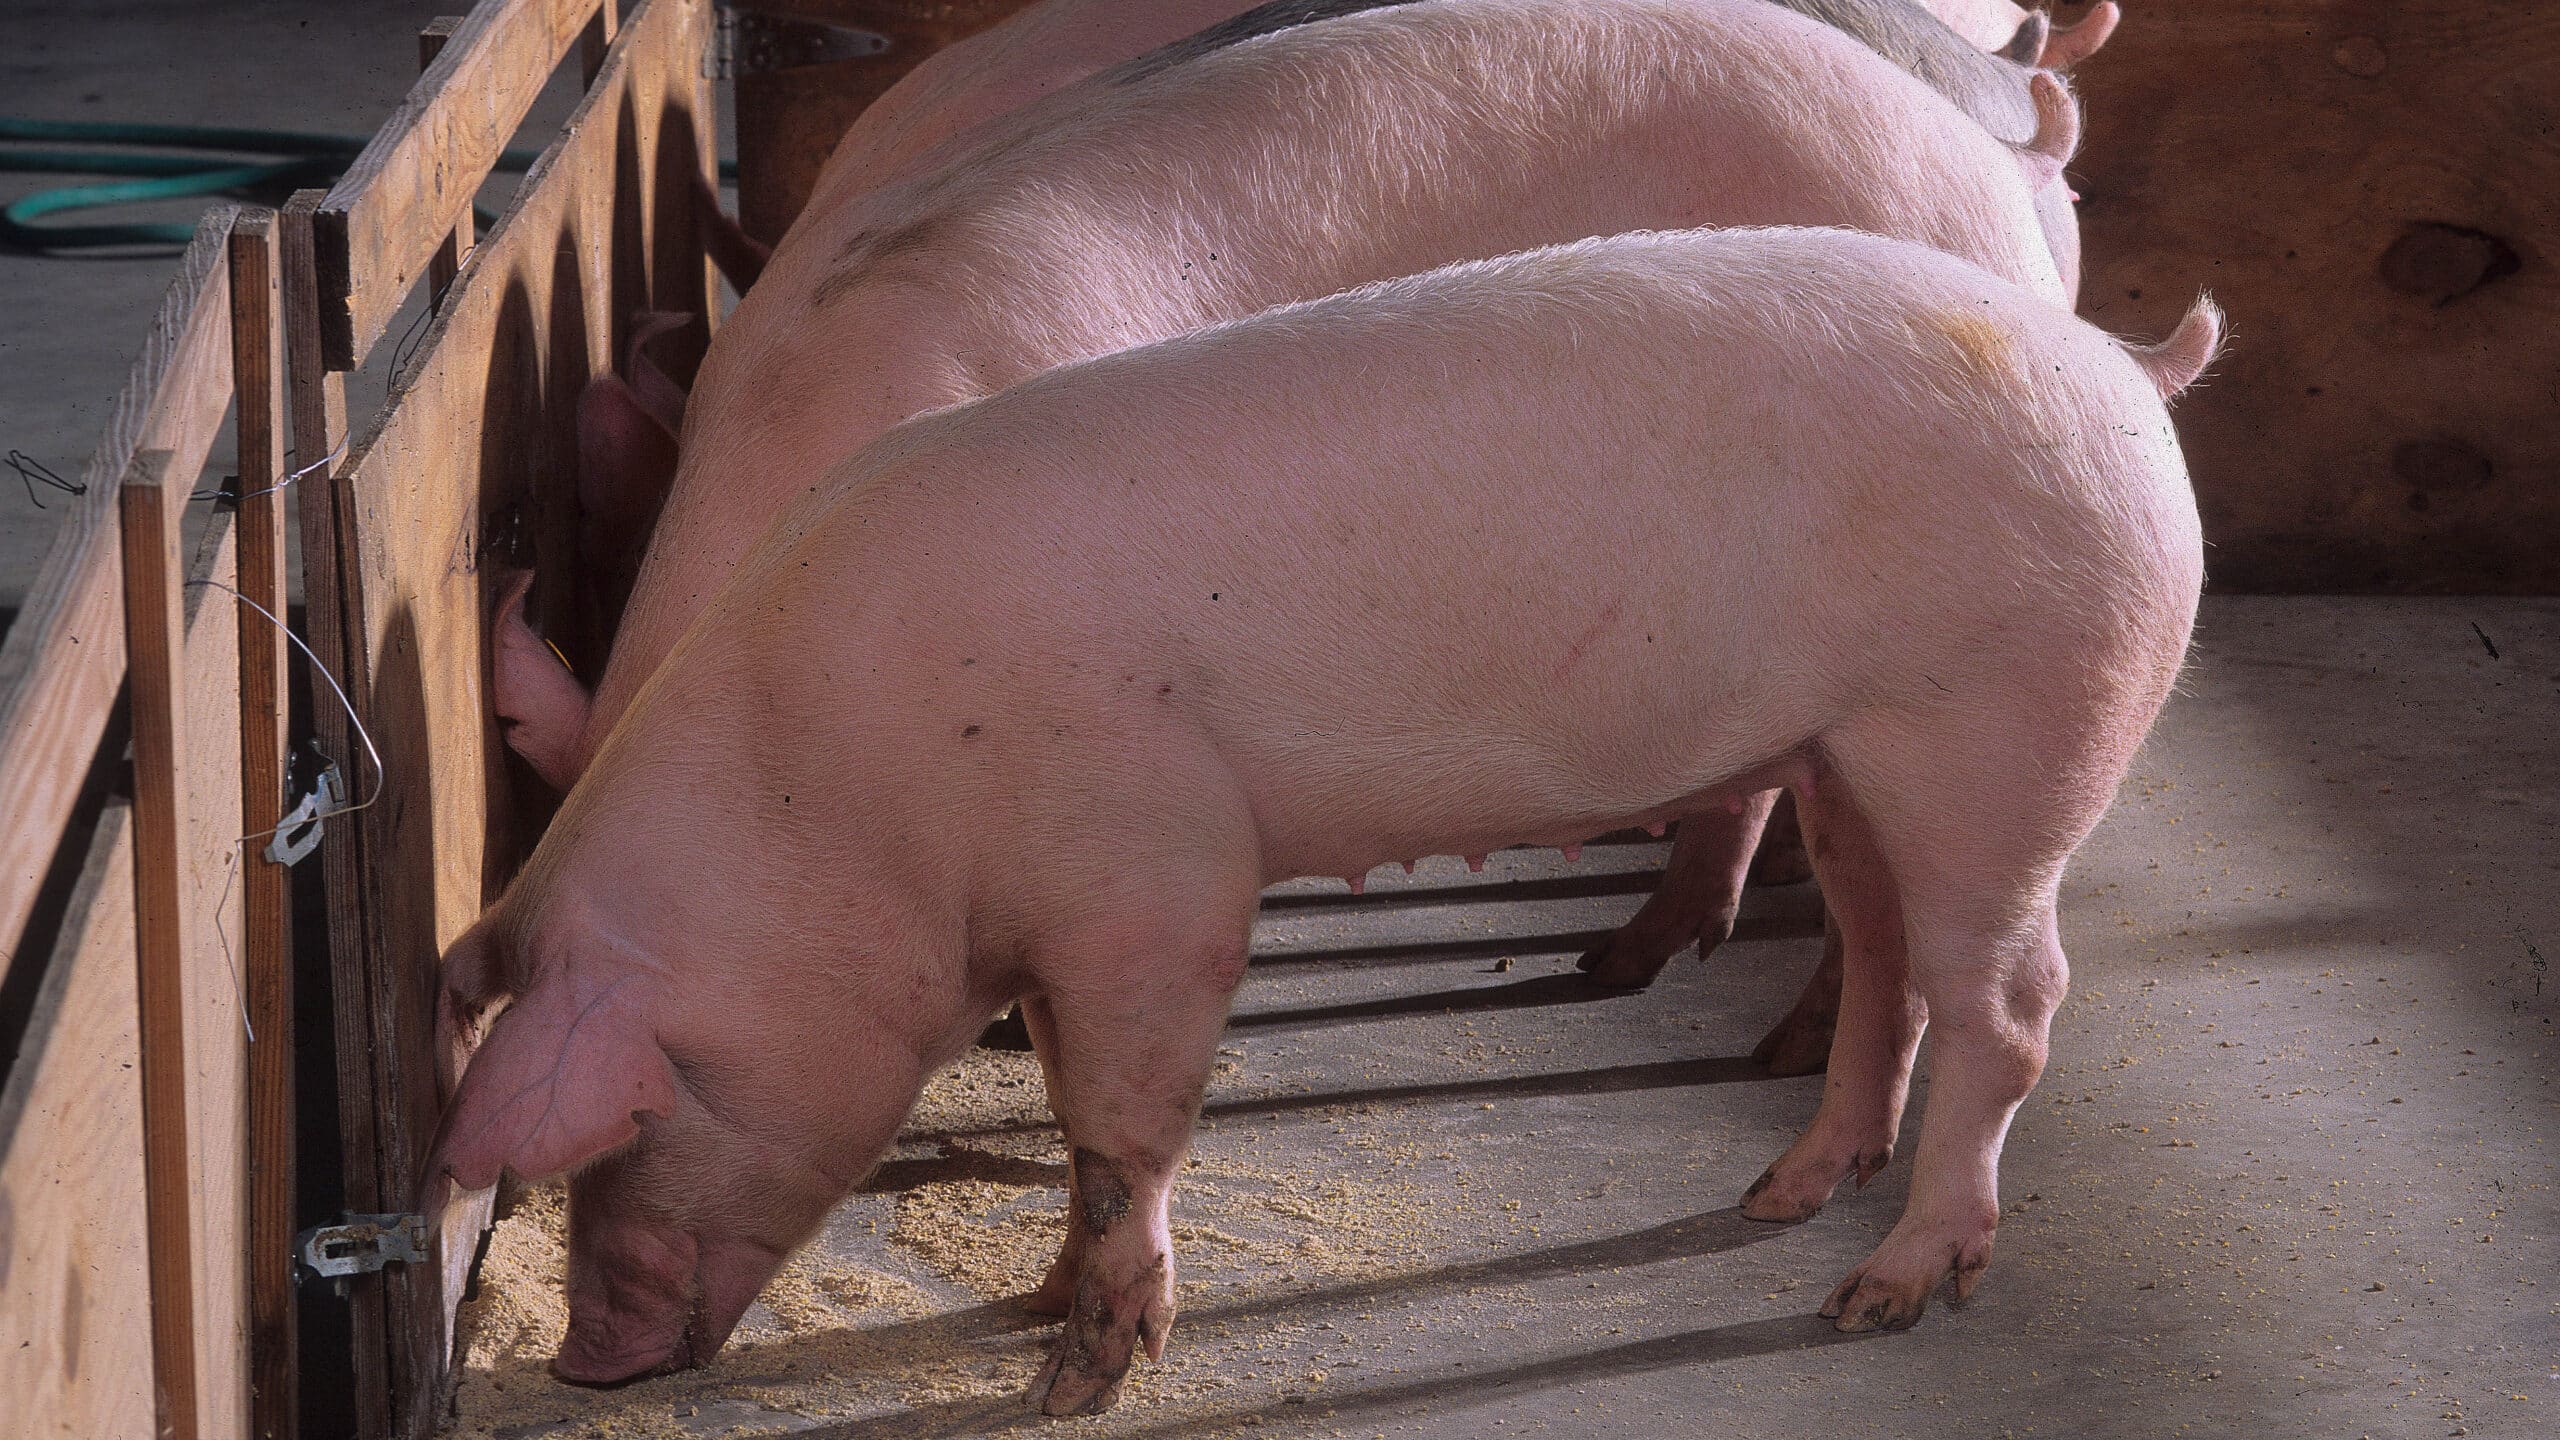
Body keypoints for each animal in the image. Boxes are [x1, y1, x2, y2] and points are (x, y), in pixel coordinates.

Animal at [431, 223, 2222, 1410]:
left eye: (630, 1117)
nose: (582, 1364)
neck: (852, 798)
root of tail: (2125, 373)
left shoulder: (1157, 877)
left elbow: (1128, 1127)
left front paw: (1077, 1378)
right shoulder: (1069, 918)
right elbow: (1078, 1114)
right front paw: (1040, 1302)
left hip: (2003, 730)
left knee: (2011, 999)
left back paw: (1881, 1296)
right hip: (1847, 754)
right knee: (1884, 951)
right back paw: (1778, 1199)